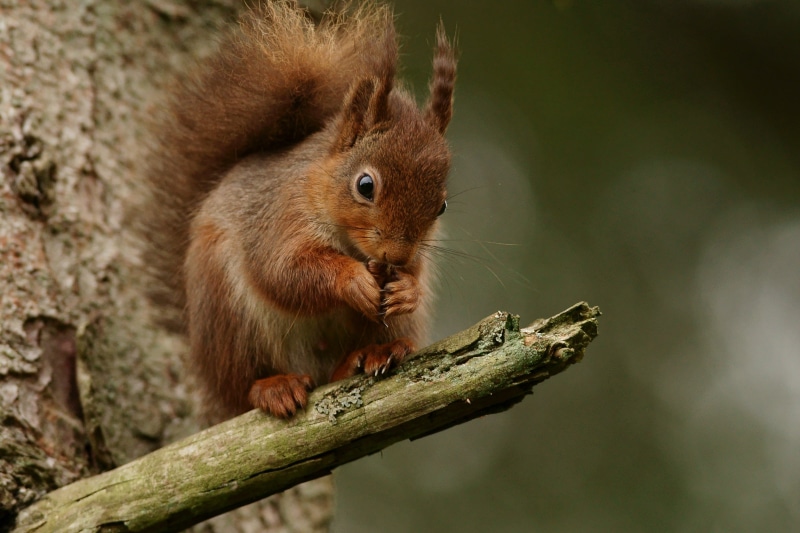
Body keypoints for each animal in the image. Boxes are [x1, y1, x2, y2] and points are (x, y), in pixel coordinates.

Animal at [141, 1, 456, 422]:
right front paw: (352, 280)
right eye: (365, 185)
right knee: (243, 387)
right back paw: (274, 387)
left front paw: (407, 288)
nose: (397, 255)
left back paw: (376, 352)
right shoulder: (279, 216)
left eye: (441, 206)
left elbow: (414, 276)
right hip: (226, 312)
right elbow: (284, 271)